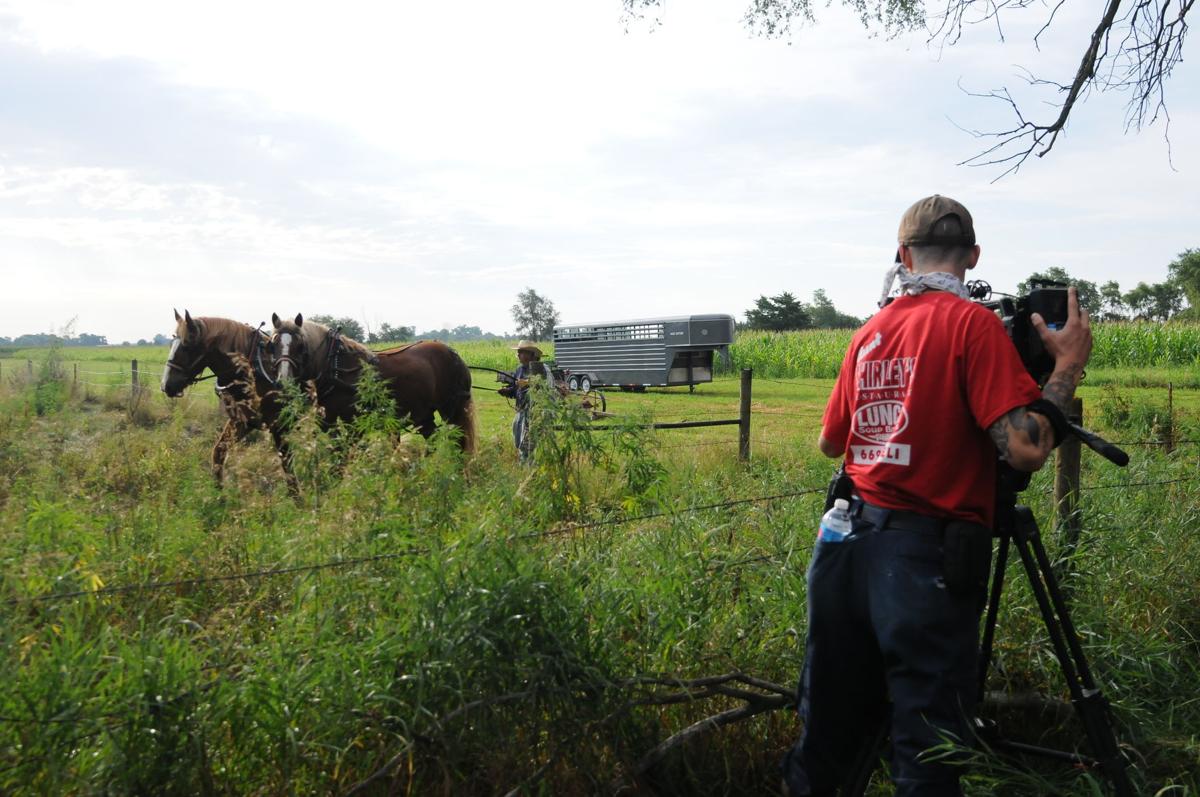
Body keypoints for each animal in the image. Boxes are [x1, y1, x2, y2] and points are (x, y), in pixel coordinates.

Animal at [159, 309, 297, 492]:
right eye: (171, 343)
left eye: (187, 346)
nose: (166, 385)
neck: (251, 370)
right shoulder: (242, 421)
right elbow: (219, 451)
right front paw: (218, 491)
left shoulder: (279, 425)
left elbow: (288, 466)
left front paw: (297, 496)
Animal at [270, 312, 475, 453]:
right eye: (273, 344)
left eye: (300, 346)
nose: (283, 381)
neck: (336, 366)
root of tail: (453, 353)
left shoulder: (351, 426)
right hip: (424, 414)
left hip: (452, 410)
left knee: (460, 443)